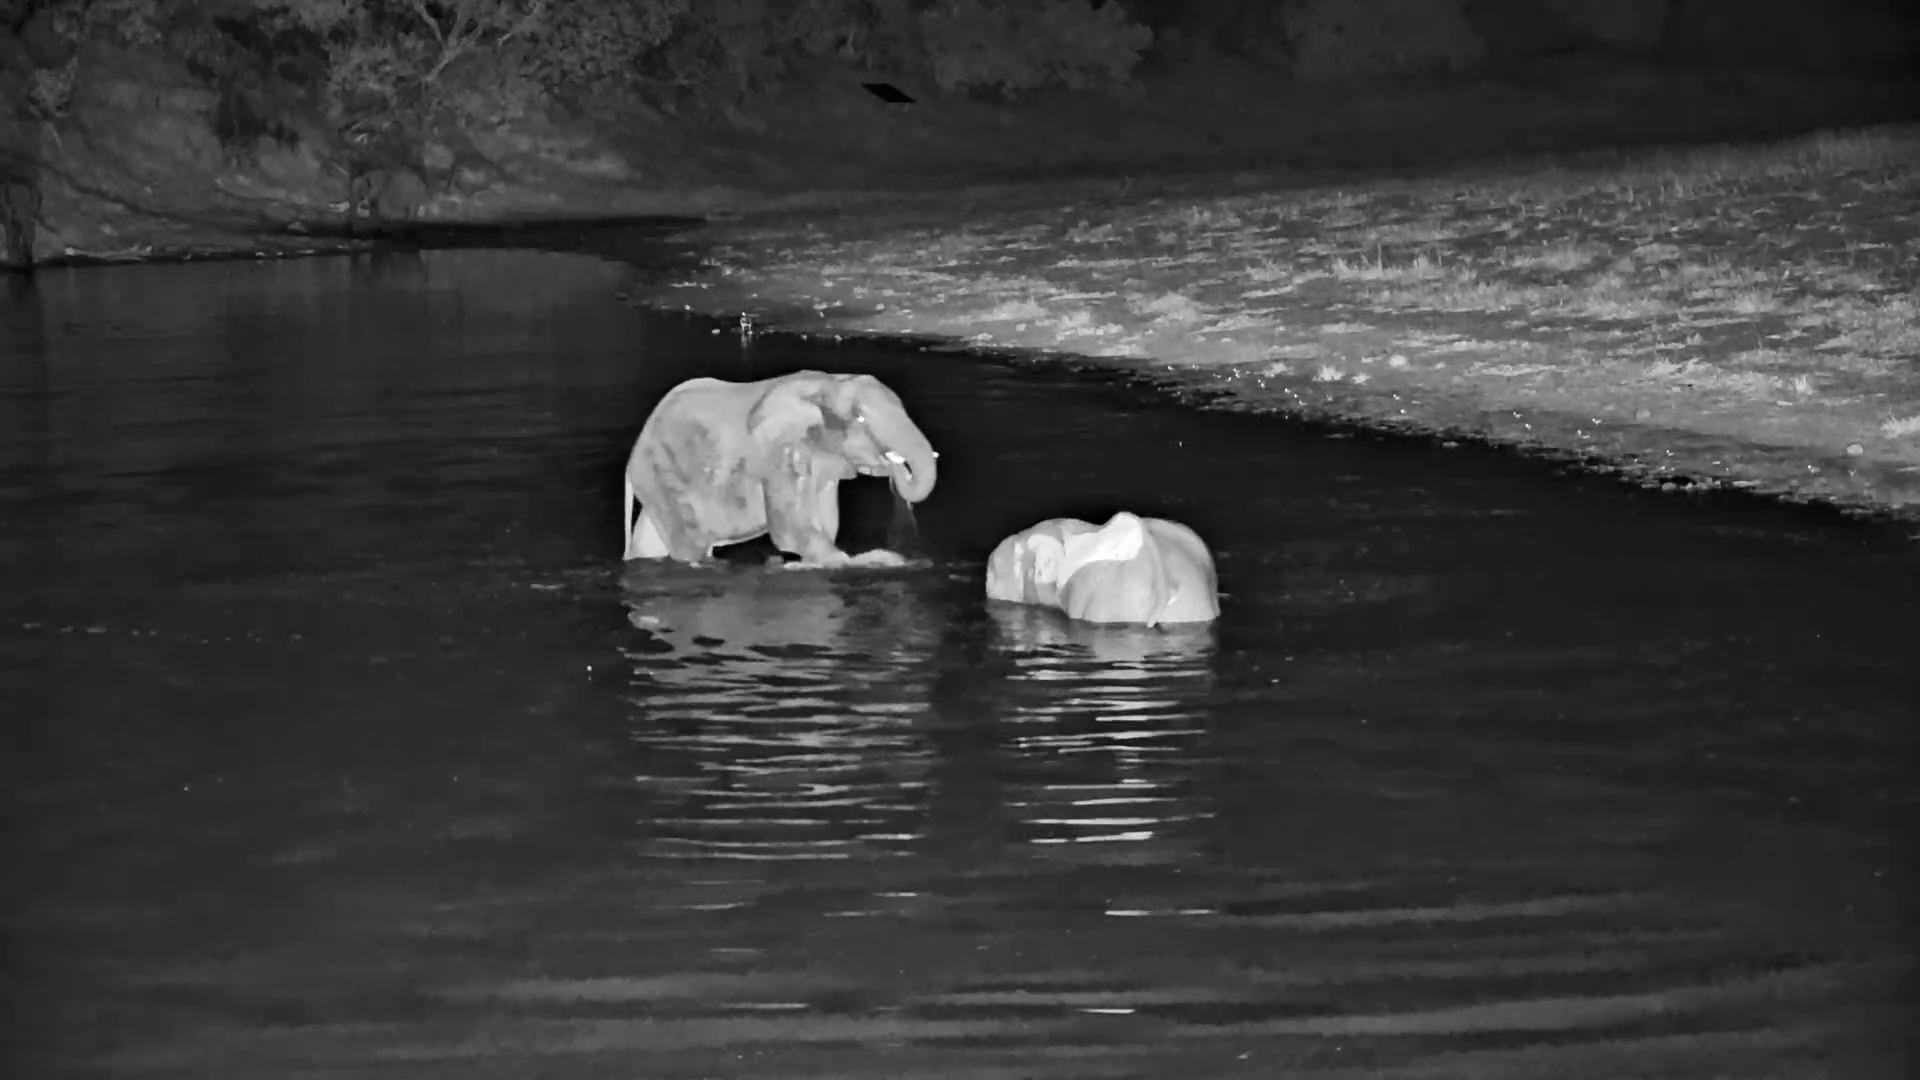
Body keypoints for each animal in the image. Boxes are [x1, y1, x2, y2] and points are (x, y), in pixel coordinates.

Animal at [622, 370, 939, 568]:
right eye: (859, 419)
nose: (895, 468)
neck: (829, 383)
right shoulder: (778, 454)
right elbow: (792, 531)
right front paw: (861, 561)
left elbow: (826, 523)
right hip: (663, 471)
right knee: (691, 545)